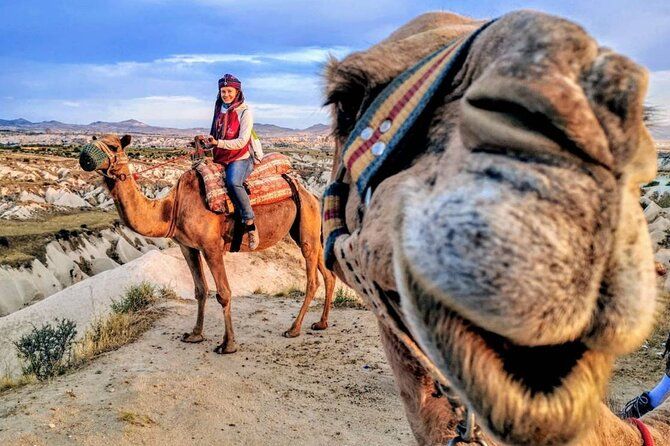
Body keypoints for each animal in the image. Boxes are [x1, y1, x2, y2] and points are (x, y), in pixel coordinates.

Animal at [79, 134, 335, 353]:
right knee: (328, 273)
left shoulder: (211, 247)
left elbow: (223, 293)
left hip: (307, 225)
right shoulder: (188, 246)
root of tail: (311, 193)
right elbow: (200, 290)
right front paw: (195, 334)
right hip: (307, 230)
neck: (171, 208)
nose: (85, 156)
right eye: (93, 139)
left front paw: (228, 344)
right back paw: (321, 323)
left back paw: (293, 329)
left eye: (113, 146)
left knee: (312, 279)